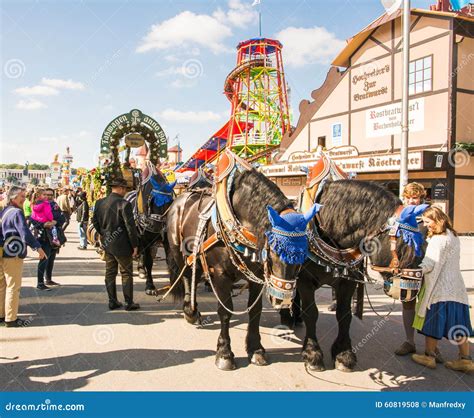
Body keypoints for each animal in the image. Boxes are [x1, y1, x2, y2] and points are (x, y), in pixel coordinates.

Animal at [165, 168, 312, 370]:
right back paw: (190, 311)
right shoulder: (220, 276)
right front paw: (224, 353)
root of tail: (181, 198)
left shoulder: (258, 277)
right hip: (179, 252)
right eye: (274, 251)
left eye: (304, 255)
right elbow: (225, 311)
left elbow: (255, 310)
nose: (282, 300)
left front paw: (256, 349)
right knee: (188, 277)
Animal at [298, 180, 424, 372]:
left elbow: (344, 315)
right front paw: (313, 354)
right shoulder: (305, 281)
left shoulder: (347, 283)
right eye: (404, 247)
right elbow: (311, 313)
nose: (411, 292)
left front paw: (343, 353)